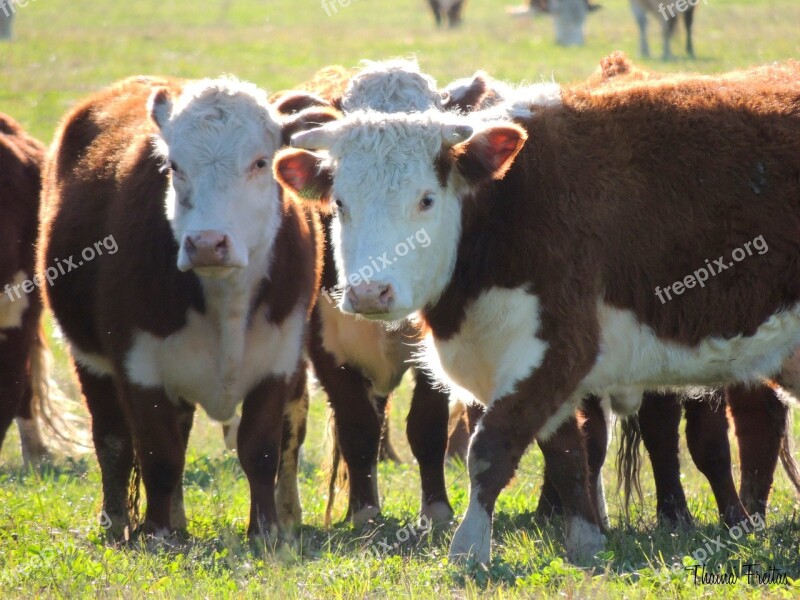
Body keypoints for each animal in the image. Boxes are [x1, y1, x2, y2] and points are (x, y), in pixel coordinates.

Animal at [39, 75, 338, 540]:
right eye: (175, 167)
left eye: (259, 162)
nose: (207, 243)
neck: (225, 298)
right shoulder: (139, 367)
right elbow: (158, 454)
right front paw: (158, 533)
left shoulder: (278, 360)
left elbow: (260, 451)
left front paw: (265, 531)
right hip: (89, 362)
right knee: (113, 440)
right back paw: (119, 523)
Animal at [274, 63, 800, 564]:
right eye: (341, 203)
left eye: (425, 199)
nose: (369, 292)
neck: (508, 205)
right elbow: (567, 452)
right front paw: (586, 539)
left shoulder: (558, 347)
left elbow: (490, 448)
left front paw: (468, 548)